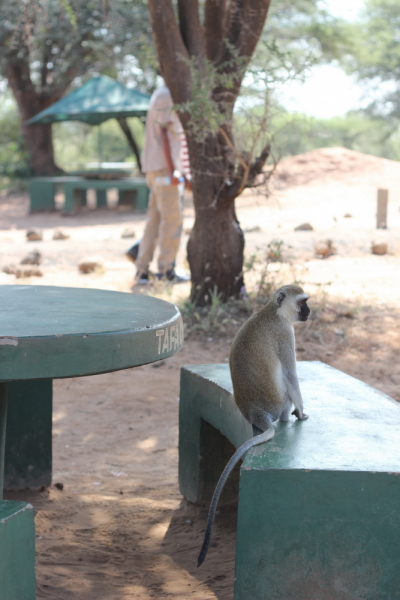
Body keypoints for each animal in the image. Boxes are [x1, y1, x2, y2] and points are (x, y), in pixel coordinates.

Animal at [197, 284, 310, 568]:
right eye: (302, 302)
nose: (309, 311)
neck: (274, 311)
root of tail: (256, 413)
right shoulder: (285, 335)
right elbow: (291, 374)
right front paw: (302, 412)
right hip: (277, 404)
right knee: (286, 388)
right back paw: (288, 416)